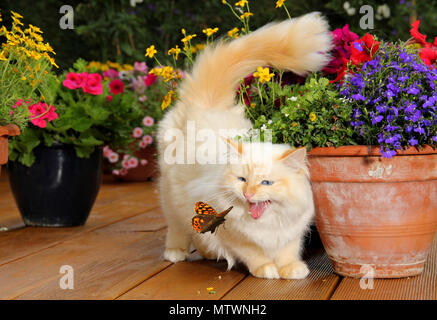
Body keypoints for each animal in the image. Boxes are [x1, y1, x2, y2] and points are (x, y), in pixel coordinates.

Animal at [157, 12, 330, 278]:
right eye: (242, 180)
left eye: (266, 183)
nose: (248, 194)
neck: (266, 222)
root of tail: (206, 101)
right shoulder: (235, 235)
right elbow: (254, 253)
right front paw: (267, 270)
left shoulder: (292, 231)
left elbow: (288, 251)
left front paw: (291, 269)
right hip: (172, 199)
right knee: (178, 230)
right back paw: (176, 253)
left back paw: (208, 254)